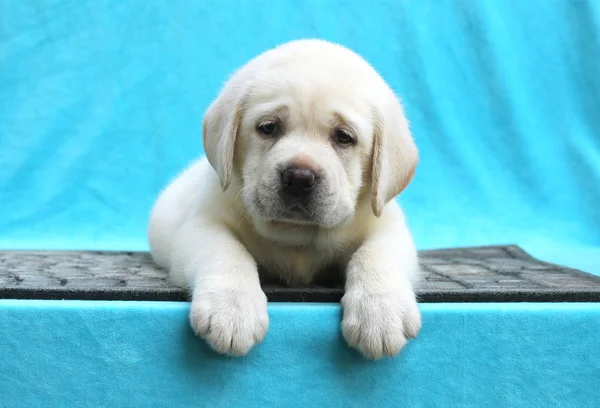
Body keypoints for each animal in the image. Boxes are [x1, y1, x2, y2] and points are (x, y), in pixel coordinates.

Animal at [149, 39, 422, 360]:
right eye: (268, 127)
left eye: (344, 137)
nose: (300, 177)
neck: (297, 238)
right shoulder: (202, 224)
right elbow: (226, 251)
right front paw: (231, 308)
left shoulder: (389, 226)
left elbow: (375, 255)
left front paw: (380, 311)